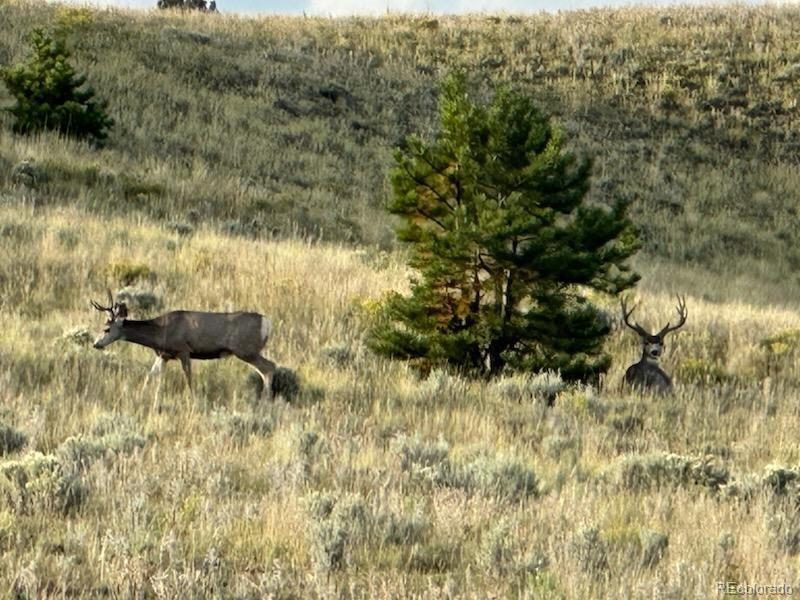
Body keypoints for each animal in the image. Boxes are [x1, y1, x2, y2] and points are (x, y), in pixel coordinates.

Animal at [92, 290, 276, 404]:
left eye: (106, 329)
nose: (95, 344)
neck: (161, 331)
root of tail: (267, 322)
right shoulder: (164, 355)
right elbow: (151, 375)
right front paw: (142, 395)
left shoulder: (183, 350)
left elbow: (188, 377)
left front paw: (192, 398)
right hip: (248, 350)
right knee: (266, 369)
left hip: (245, 349)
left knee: (269, 367)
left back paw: (266, 402)